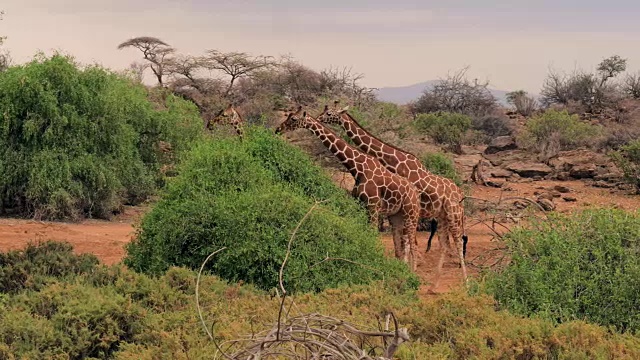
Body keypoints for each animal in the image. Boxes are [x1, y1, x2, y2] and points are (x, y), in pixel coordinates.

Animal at [274, 107, 420, 270]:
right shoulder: (360, 205)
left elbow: (373, 235)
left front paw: (372, 265)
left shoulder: (373, 206)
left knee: (413, 243)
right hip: (396, 216)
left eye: (293, 119)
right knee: (400, 245)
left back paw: (412, 271)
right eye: (288, 115)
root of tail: (416, 193)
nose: (278, 129)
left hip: (411, 213)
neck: (358, 168)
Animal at [318, 104, 468, 290]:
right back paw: (435, 285)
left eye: (329, 113)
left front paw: (413, 267)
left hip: (454, 215)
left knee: (458, 240)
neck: (393, 162)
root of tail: (460, 193)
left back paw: (464, 281)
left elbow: (407, 241)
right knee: (446, 243)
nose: (319, 118)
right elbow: (403, 241)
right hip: (442, 217)